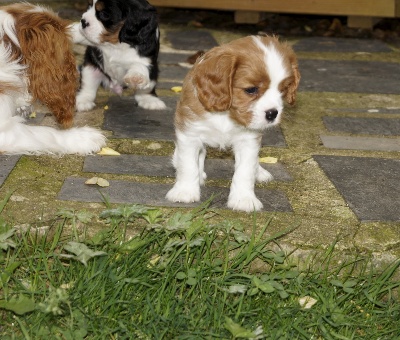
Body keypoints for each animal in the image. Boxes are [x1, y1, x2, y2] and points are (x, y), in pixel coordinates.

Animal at [166, 34, 300, 211]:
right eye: (251, 90)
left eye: (283, 90)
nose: (272, 113)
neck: (227, 114)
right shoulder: (190, 133)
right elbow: (188, 165)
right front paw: (184, 191)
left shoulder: (249, 140)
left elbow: (245, 171)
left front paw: (244, 199)